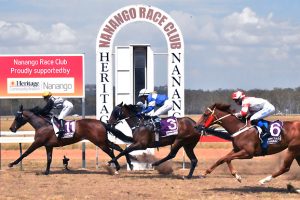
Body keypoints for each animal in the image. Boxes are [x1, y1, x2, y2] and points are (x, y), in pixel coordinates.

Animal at [106, 102, 236, 179]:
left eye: (115, 111)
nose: (109, 122)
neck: (139, 123)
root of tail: (196, 125)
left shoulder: (141, 144)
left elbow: (125, 150)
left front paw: (113, 163)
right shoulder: (137, 143)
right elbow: (125, 151)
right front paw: (128, 164)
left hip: (179, 141)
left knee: (172, 154)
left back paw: (156, 164)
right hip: (188, 145)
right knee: (194, 160)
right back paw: (188, 176)